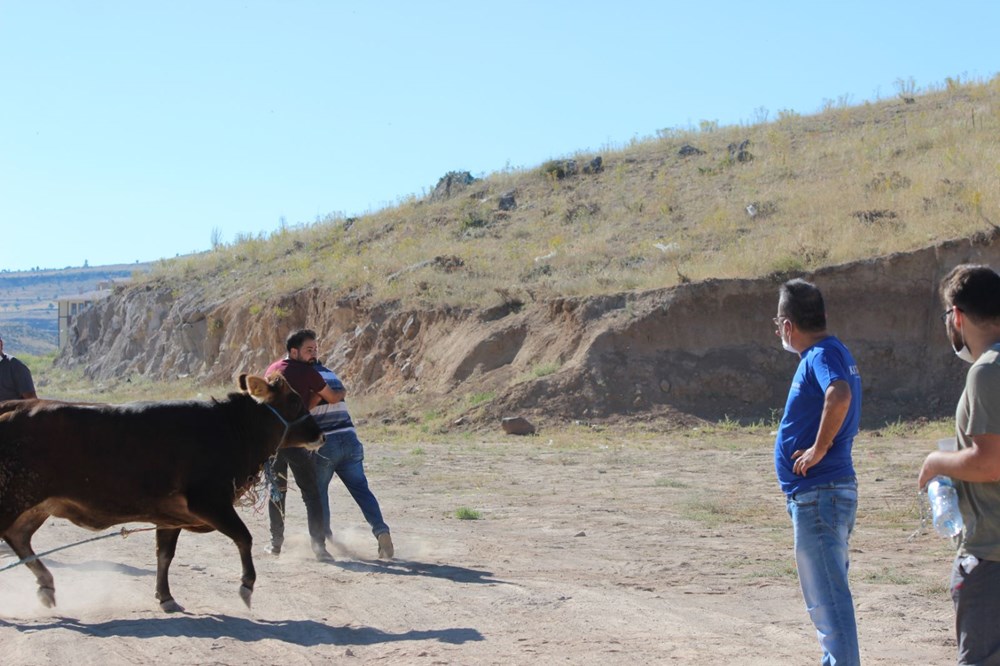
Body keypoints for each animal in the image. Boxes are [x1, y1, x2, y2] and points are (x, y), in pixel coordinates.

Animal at [0, 370, 322, 608]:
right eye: (294, 401)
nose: (319, 434)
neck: (228, 428)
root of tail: (14, 407)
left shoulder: (171, 516)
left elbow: (164, 554)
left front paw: (165, 596)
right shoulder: (209, 502)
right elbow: (244, 537)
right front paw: (246, 585)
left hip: (35, 506)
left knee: (19, 539)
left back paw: (46, 585)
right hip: (16, 500)